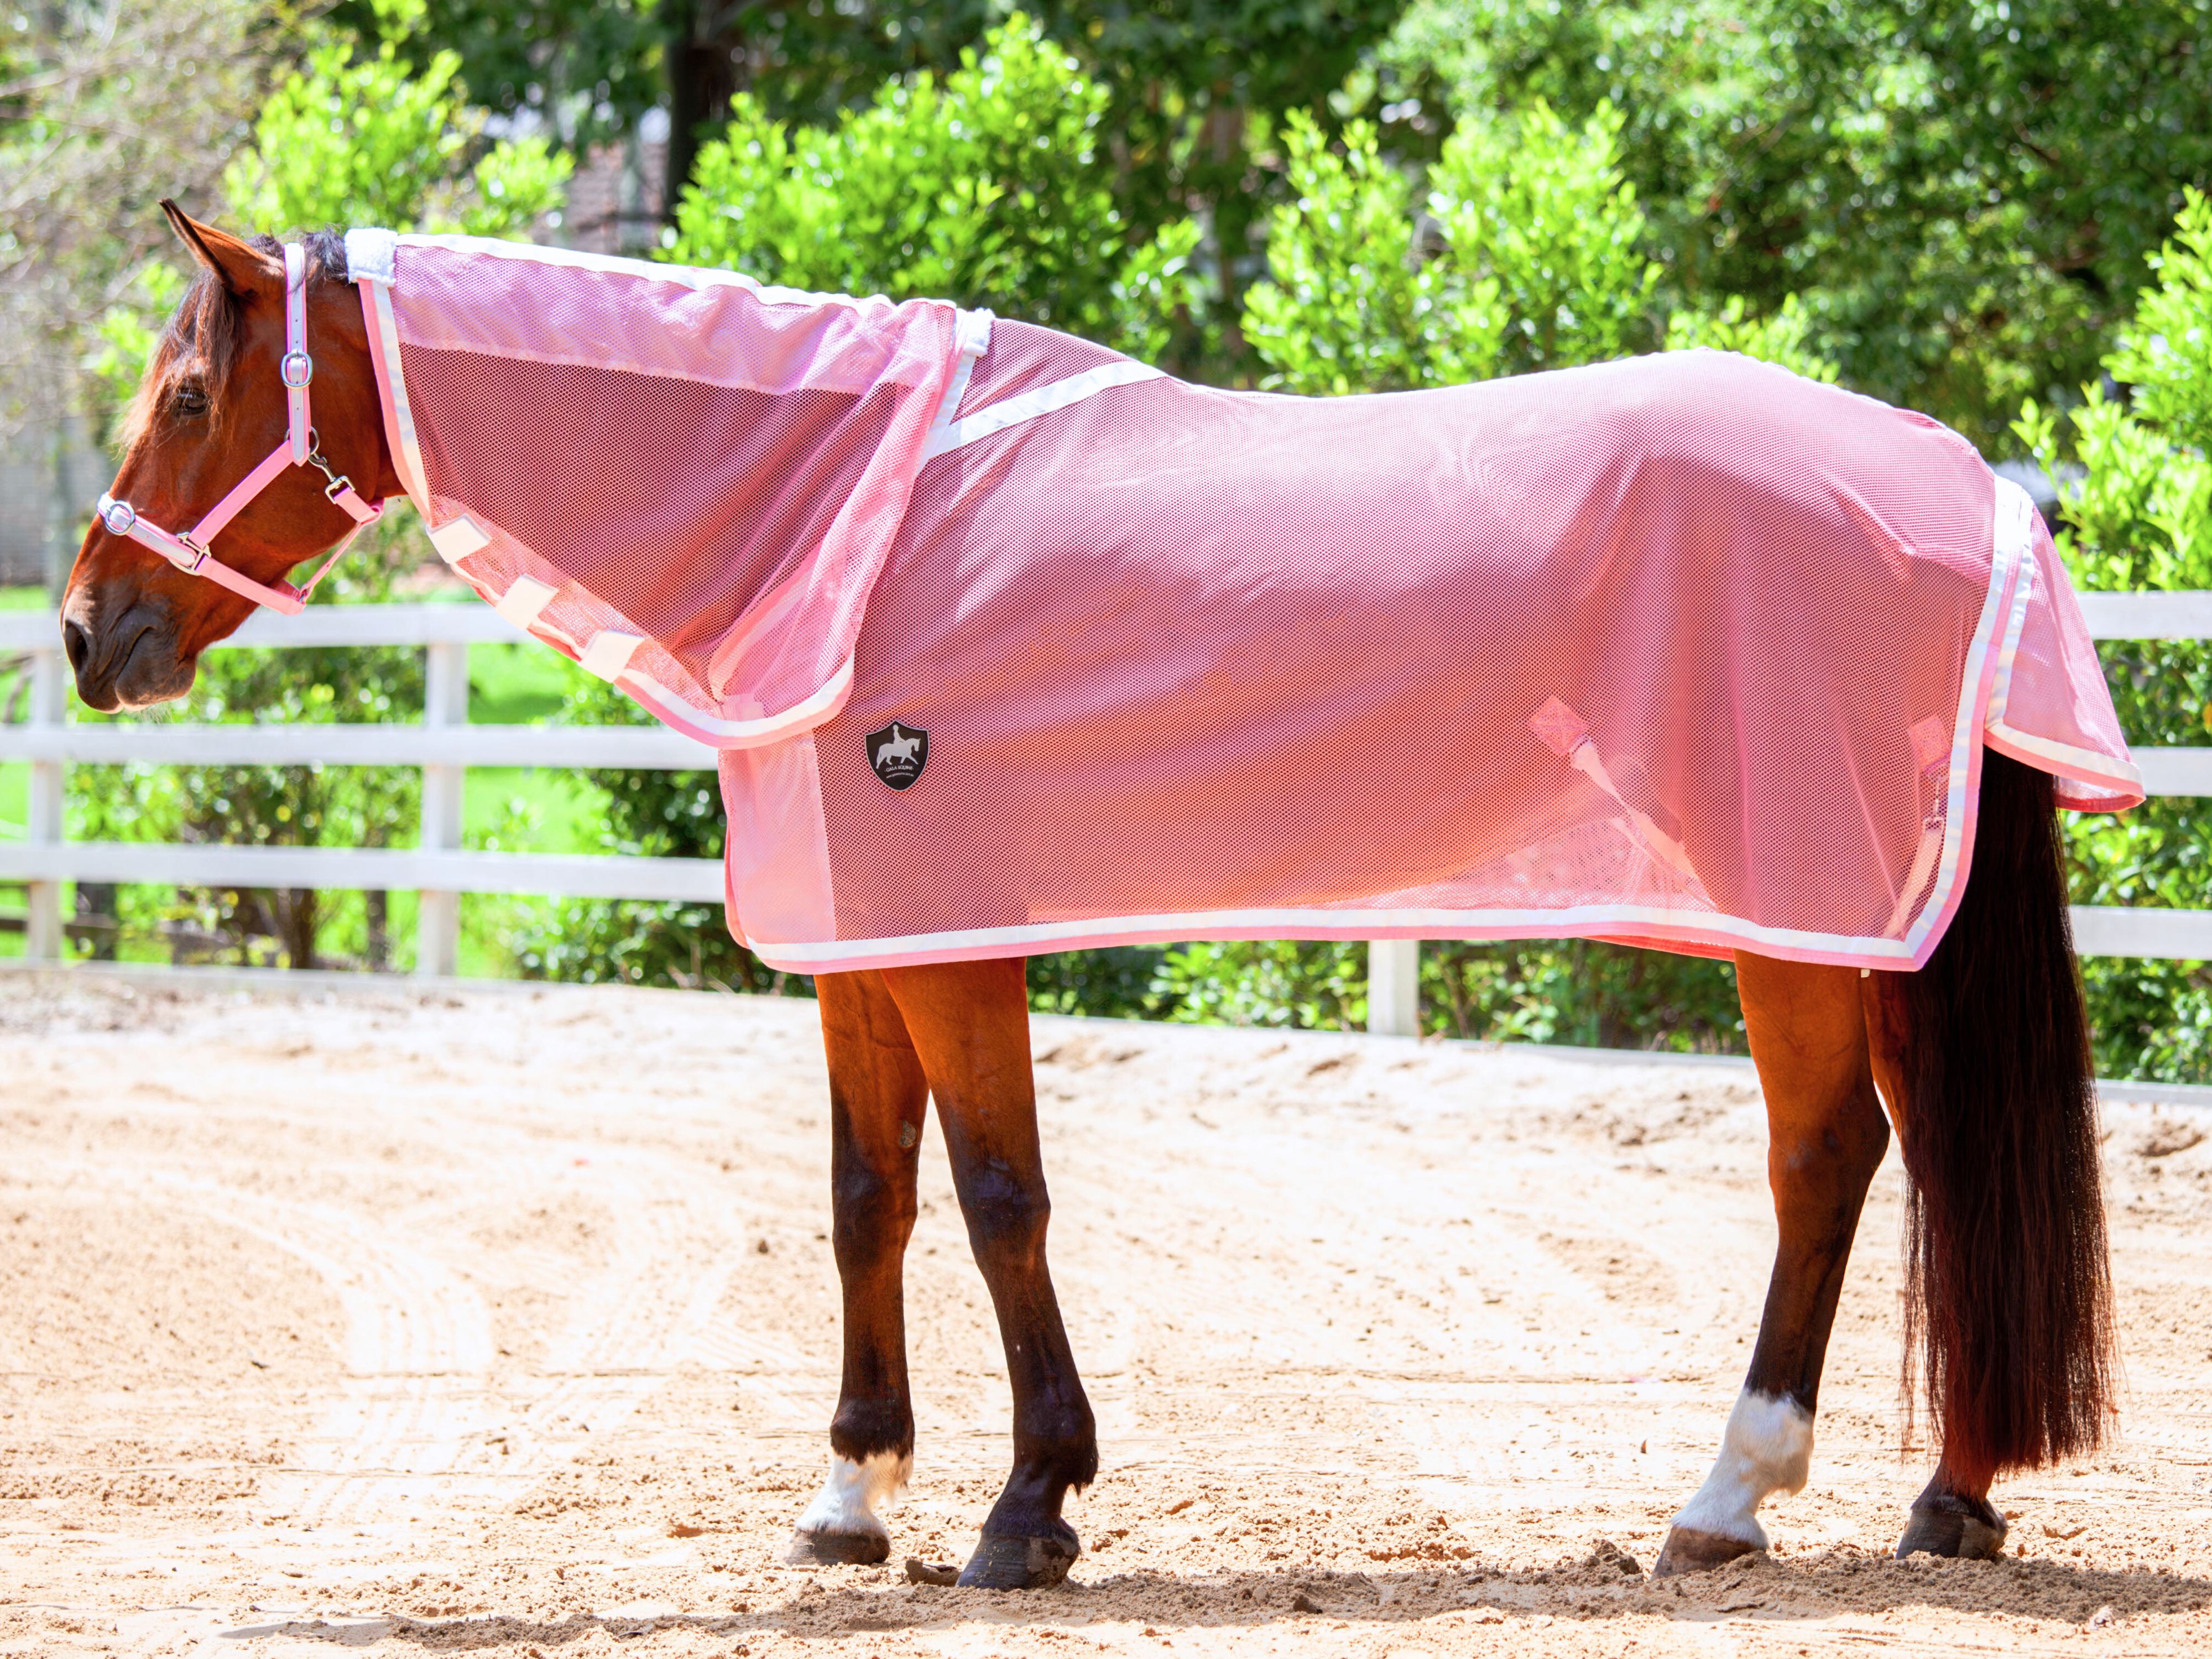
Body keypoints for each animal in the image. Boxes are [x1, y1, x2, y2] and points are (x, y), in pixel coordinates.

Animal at [60, 215, 2115, 1593]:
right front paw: (850, 1497)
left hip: (1801, 916)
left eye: (189, 392)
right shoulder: (860, 948)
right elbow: (866, 1201)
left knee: (1827, 1157)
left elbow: (996, 1200)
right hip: (1866, 923)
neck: (847, 517)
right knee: (1928, 1153)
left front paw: (1027, 1504)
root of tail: (1962, 482)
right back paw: (1949, 1495)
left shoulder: (959, 943)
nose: (87, 633)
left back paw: (1730, 1493)